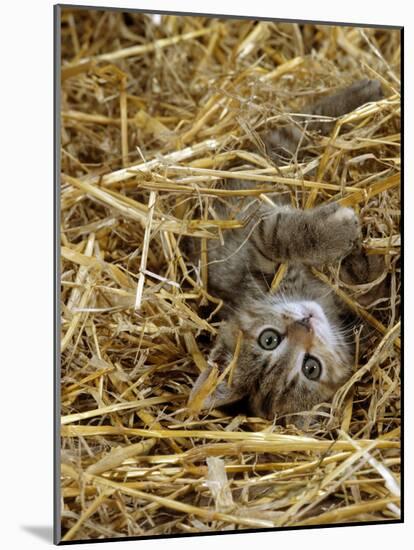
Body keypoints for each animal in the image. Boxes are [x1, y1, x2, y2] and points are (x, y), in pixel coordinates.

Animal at [189, 78, 384, 422]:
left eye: (269, 338)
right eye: (311, 368)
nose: (304, 324)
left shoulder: (258, 248)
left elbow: (274, 235)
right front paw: (344, 235)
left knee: (302, 126)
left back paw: (364, 92)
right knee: (300, 127)